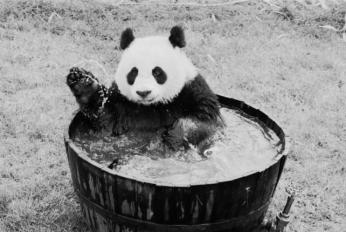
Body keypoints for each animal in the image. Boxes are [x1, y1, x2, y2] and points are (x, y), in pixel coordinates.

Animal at [66, 26, 223, 151]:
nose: (144, 92)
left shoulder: (193, 90)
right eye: (133, 72)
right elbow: (104, 120)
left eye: (157, 72)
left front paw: (174, 135)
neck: (154, 105)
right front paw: (82, 83)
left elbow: (205, 122)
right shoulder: (121, 103)